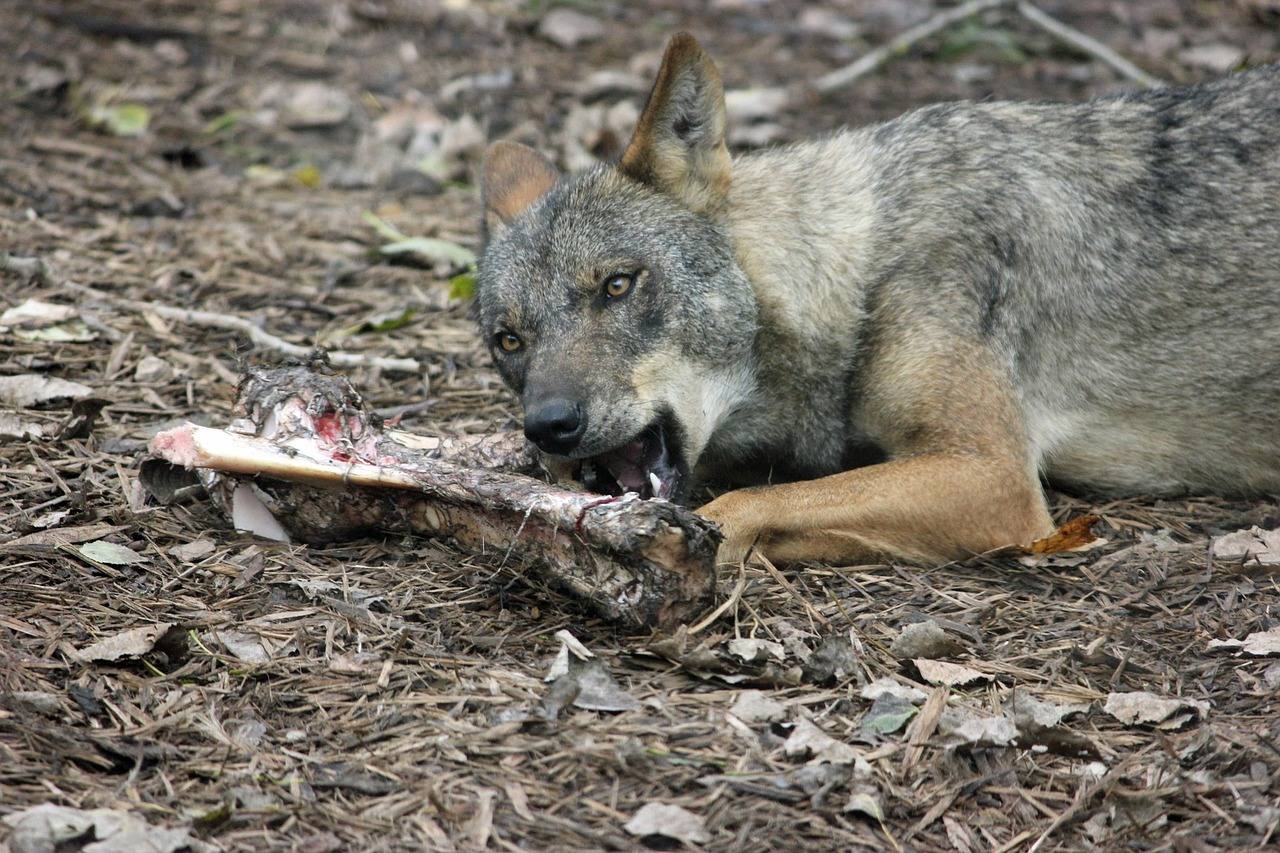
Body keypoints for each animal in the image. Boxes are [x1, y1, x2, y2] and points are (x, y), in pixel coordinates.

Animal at [476, 31, 1280, 563]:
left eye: (618, 284)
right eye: (509, 341)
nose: (548, 426)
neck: (861, 271)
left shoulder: (991, 475)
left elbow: (750, 503)